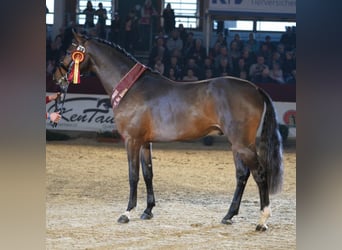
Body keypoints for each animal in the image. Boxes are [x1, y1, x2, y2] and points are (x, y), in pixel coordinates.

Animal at [53, 31, 284, 232]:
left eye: (69, 50)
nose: (57, 77)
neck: (132, 88)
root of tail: (255, 89)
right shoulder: (145, 142)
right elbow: (148, 173)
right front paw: (147, 211)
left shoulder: (132, 140)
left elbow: (133, 175)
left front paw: (127, 213)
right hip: (236, 145)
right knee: (242, 175)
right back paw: (228, 216)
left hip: (242, 144)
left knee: (260, 174)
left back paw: (262, 221)